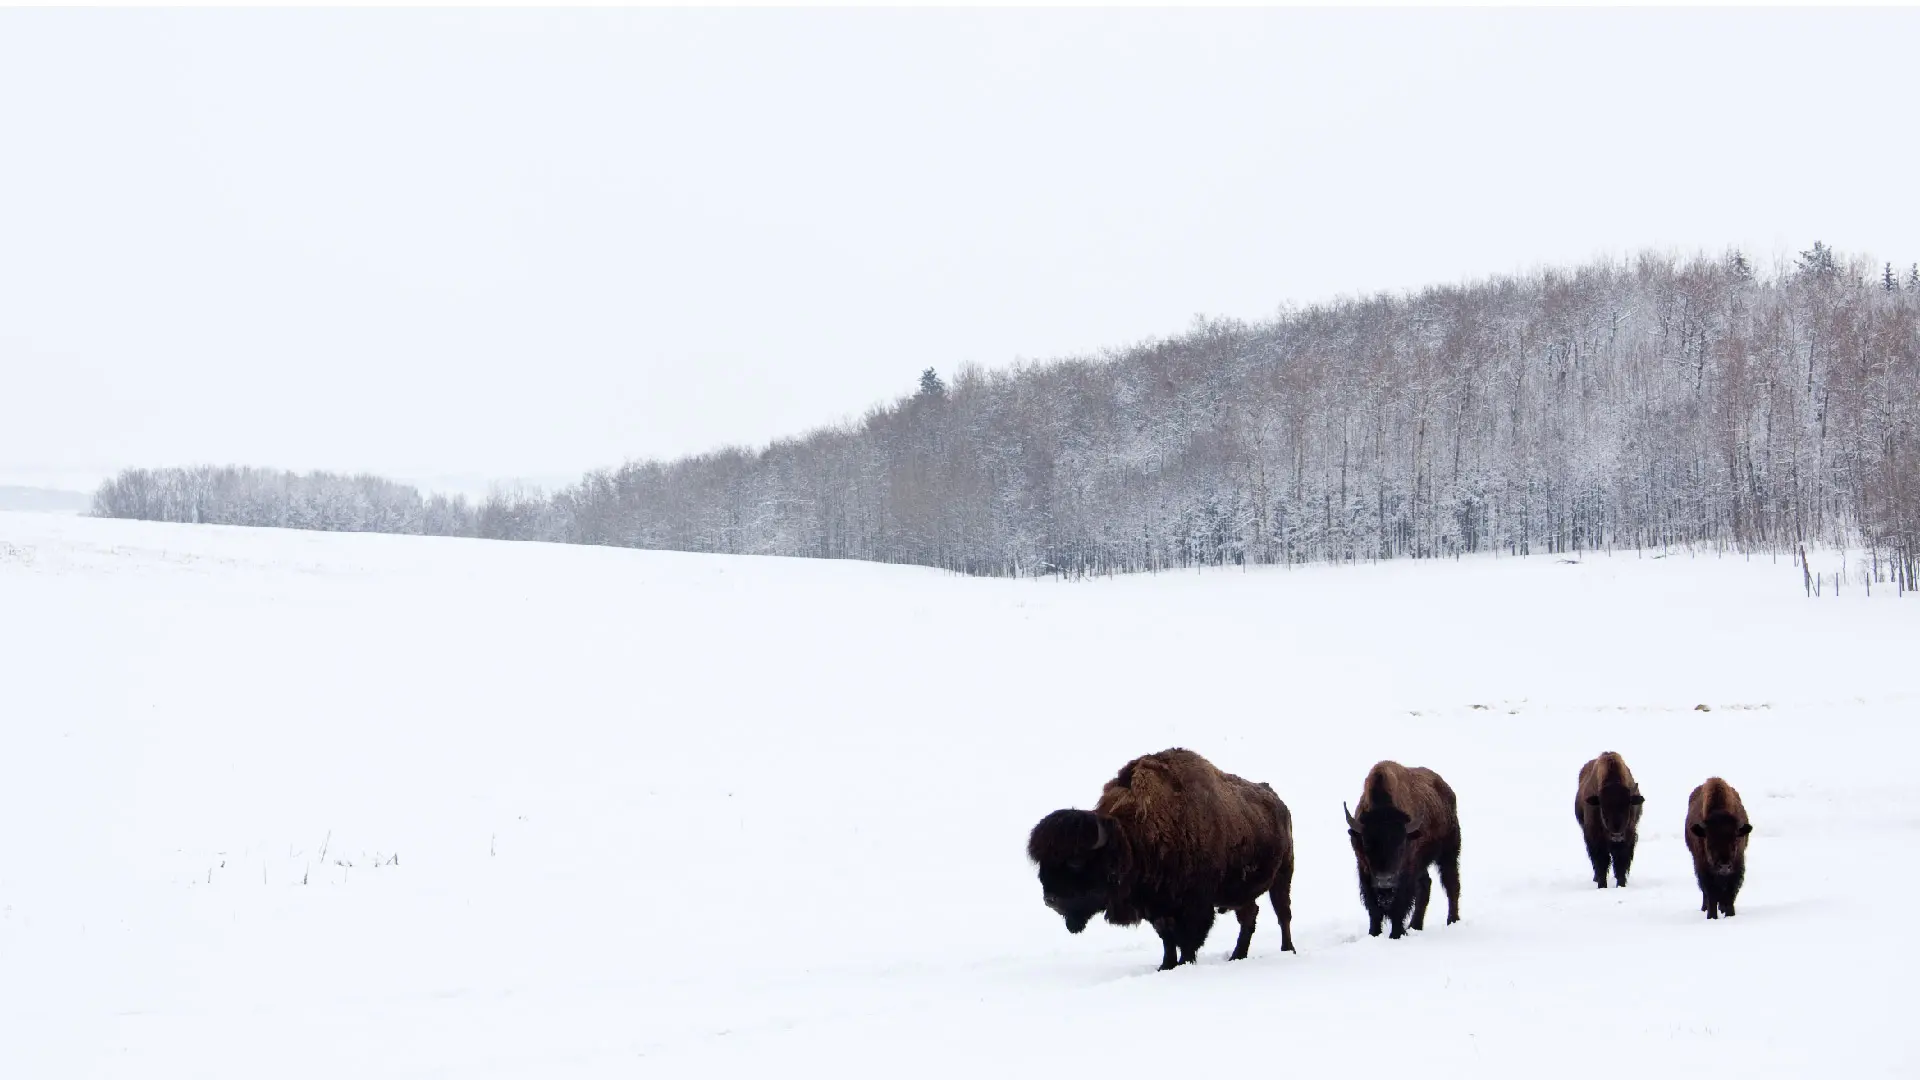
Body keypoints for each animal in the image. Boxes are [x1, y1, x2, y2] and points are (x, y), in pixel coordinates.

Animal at [1029, 749, 1297, 968]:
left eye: (1075, 861)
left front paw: (1184, 963)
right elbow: (1167, 939)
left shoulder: (1193, 906)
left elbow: (1187, 939)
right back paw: (1237, 956)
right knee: (1249, 915)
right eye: (1042, 862)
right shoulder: (1157, 906)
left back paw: (1287, 950)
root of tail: (1278, 801)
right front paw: (1165, 966)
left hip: (1283, 876)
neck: (1133, 839)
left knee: (1282, 914)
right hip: (1240, 893)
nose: (1050, 900)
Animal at [1344, 757, 1459, 933]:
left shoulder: (1406, 871)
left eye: (1401, 845)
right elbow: (1373, 908)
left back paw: (1452, 921)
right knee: (1426, 885)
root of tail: (1446, 789)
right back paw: (1415, 926)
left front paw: (1396, 934)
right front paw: (1374, 933)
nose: (1384, 881)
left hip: (1448, 852)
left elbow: (1399, 906)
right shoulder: (1364, 869)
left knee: (1451, 884)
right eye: (1367, 844)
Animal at [1574, 749, 1651, 883]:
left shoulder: (1628, 837)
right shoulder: (1595, 838)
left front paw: (1621, 884)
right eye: (1603, 809)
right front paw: (1602, 884)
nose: (1617, 836)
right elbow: (1601, 863)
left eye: (1628, 806)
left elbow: (1620, 864)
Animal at [1681, 772, 1758, 914]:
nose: (1724, 866)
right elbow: (1711, 894)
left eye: (1735, 840)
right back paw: (1705, 908)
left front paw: (1730, 914)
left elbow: (1730, 894)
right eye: (1709, 843)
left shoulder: (1737, 866)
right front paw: (1711, 915)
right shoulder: (1704, 867)